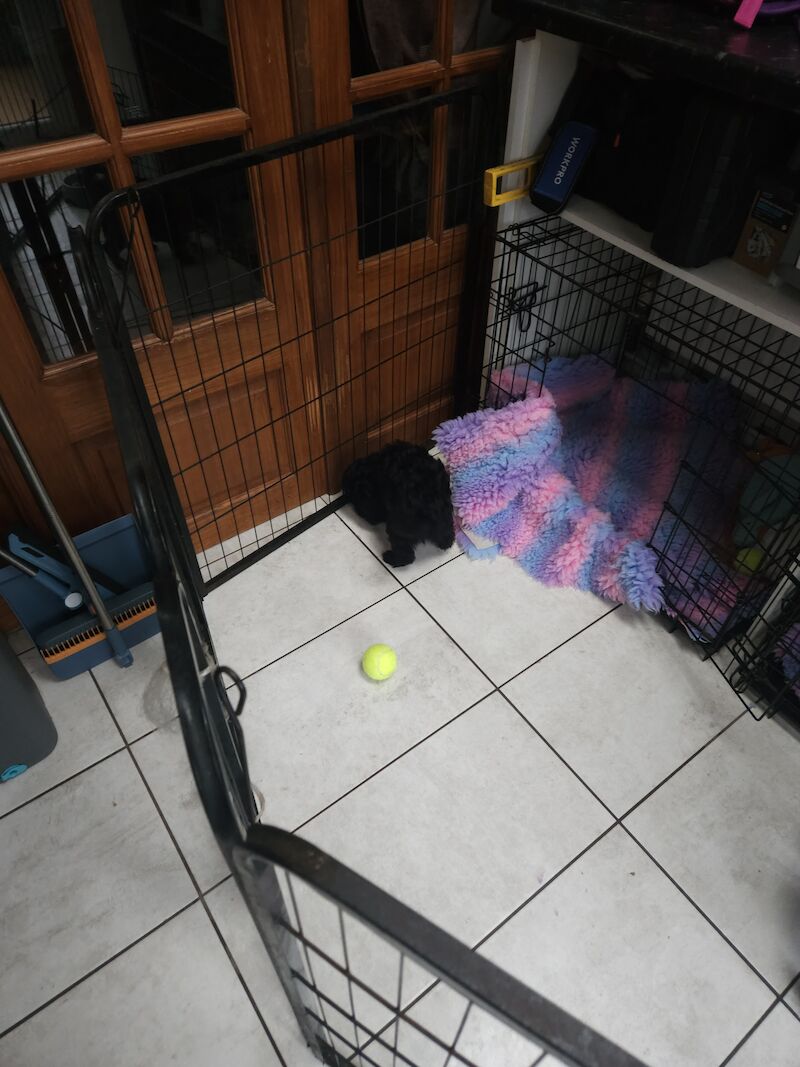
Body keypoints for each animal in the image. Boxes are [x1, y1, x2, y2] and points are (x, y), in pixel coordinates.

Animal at [345, 439, 456, 567]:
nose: (358, 510)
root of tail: (430, 502)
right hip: (445, 514)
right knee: (447, 533)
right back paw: (445, 542)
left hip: (398, 527)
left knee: (406, 554)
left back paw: (390, 558)